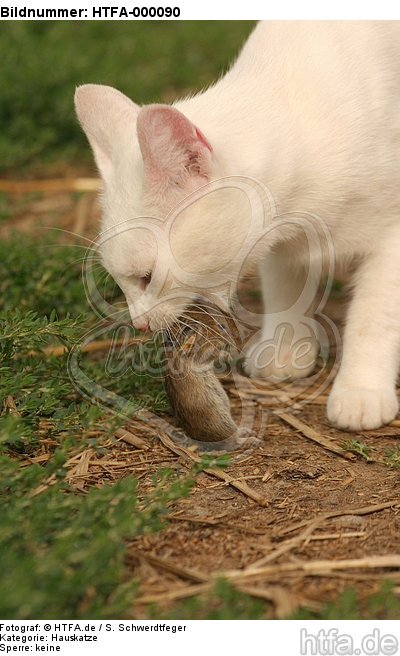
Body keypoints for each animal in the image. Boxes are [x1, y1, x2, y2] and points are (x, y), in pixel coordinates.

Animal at [74, 21, 400, 430]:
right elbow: (285, 289)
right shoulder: (279, 240)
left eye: (146, 278)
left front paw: (361, 388)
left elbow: (375, 316)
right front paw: (285, 348)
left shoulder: (392, 236)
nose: (140, 324)